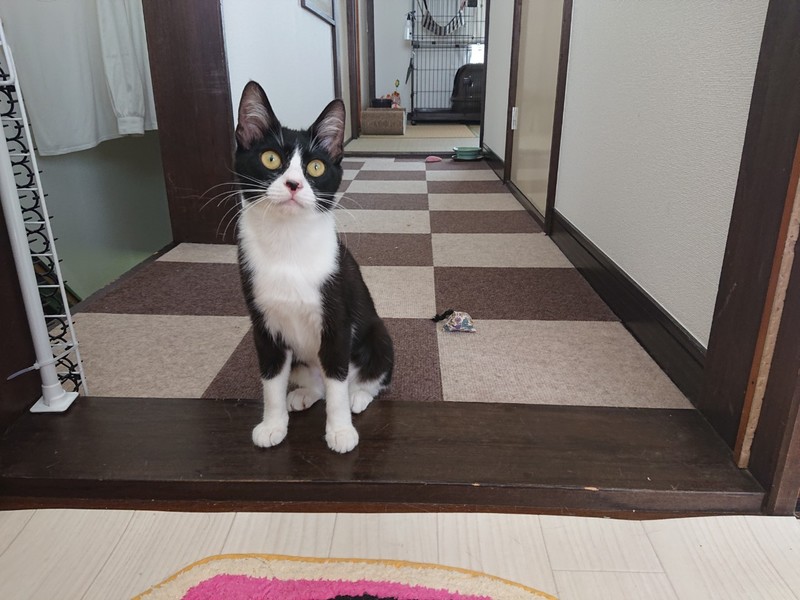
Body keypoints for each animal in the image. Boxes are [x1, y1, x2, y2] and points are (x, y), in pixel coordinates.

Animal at [234, 81, 393, 454]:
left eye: (317, 167)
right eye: (270, 158)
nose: (293, 184)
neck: (288, 245)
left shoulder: (337, 319)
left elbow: (337, 380)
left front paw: (340, 431)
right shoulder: (263, 324)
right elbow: (271, 378)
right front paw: (273, 424)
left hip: (378, 335)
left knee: (364, 376)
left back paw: (358, 396)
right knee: (316, 381)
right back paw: (304, 394)